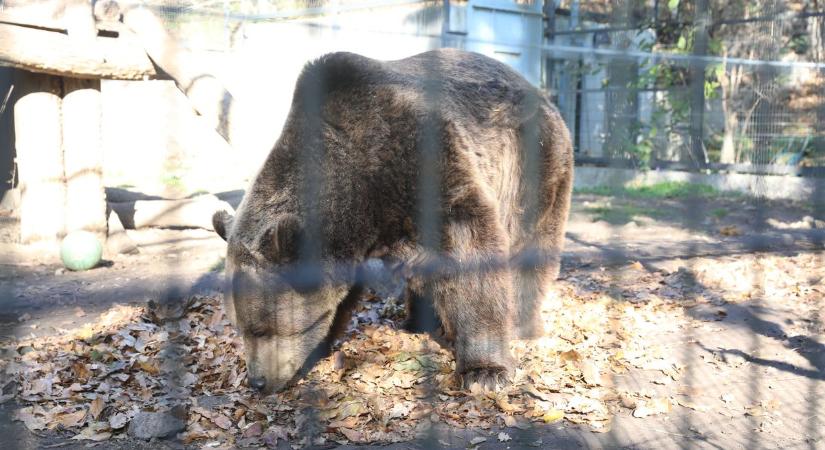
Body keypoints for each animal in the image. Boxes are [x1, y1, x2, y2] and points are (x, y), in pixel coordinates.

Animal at [212, 48, 572, 394]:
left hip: (534, 166)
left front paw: (485, 371)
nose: (257, 381)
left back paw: (523, 323)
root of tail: (543, 95)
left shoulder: (427, 163)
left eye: (262, 328)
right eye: (239, 327)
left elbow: (471, 257)